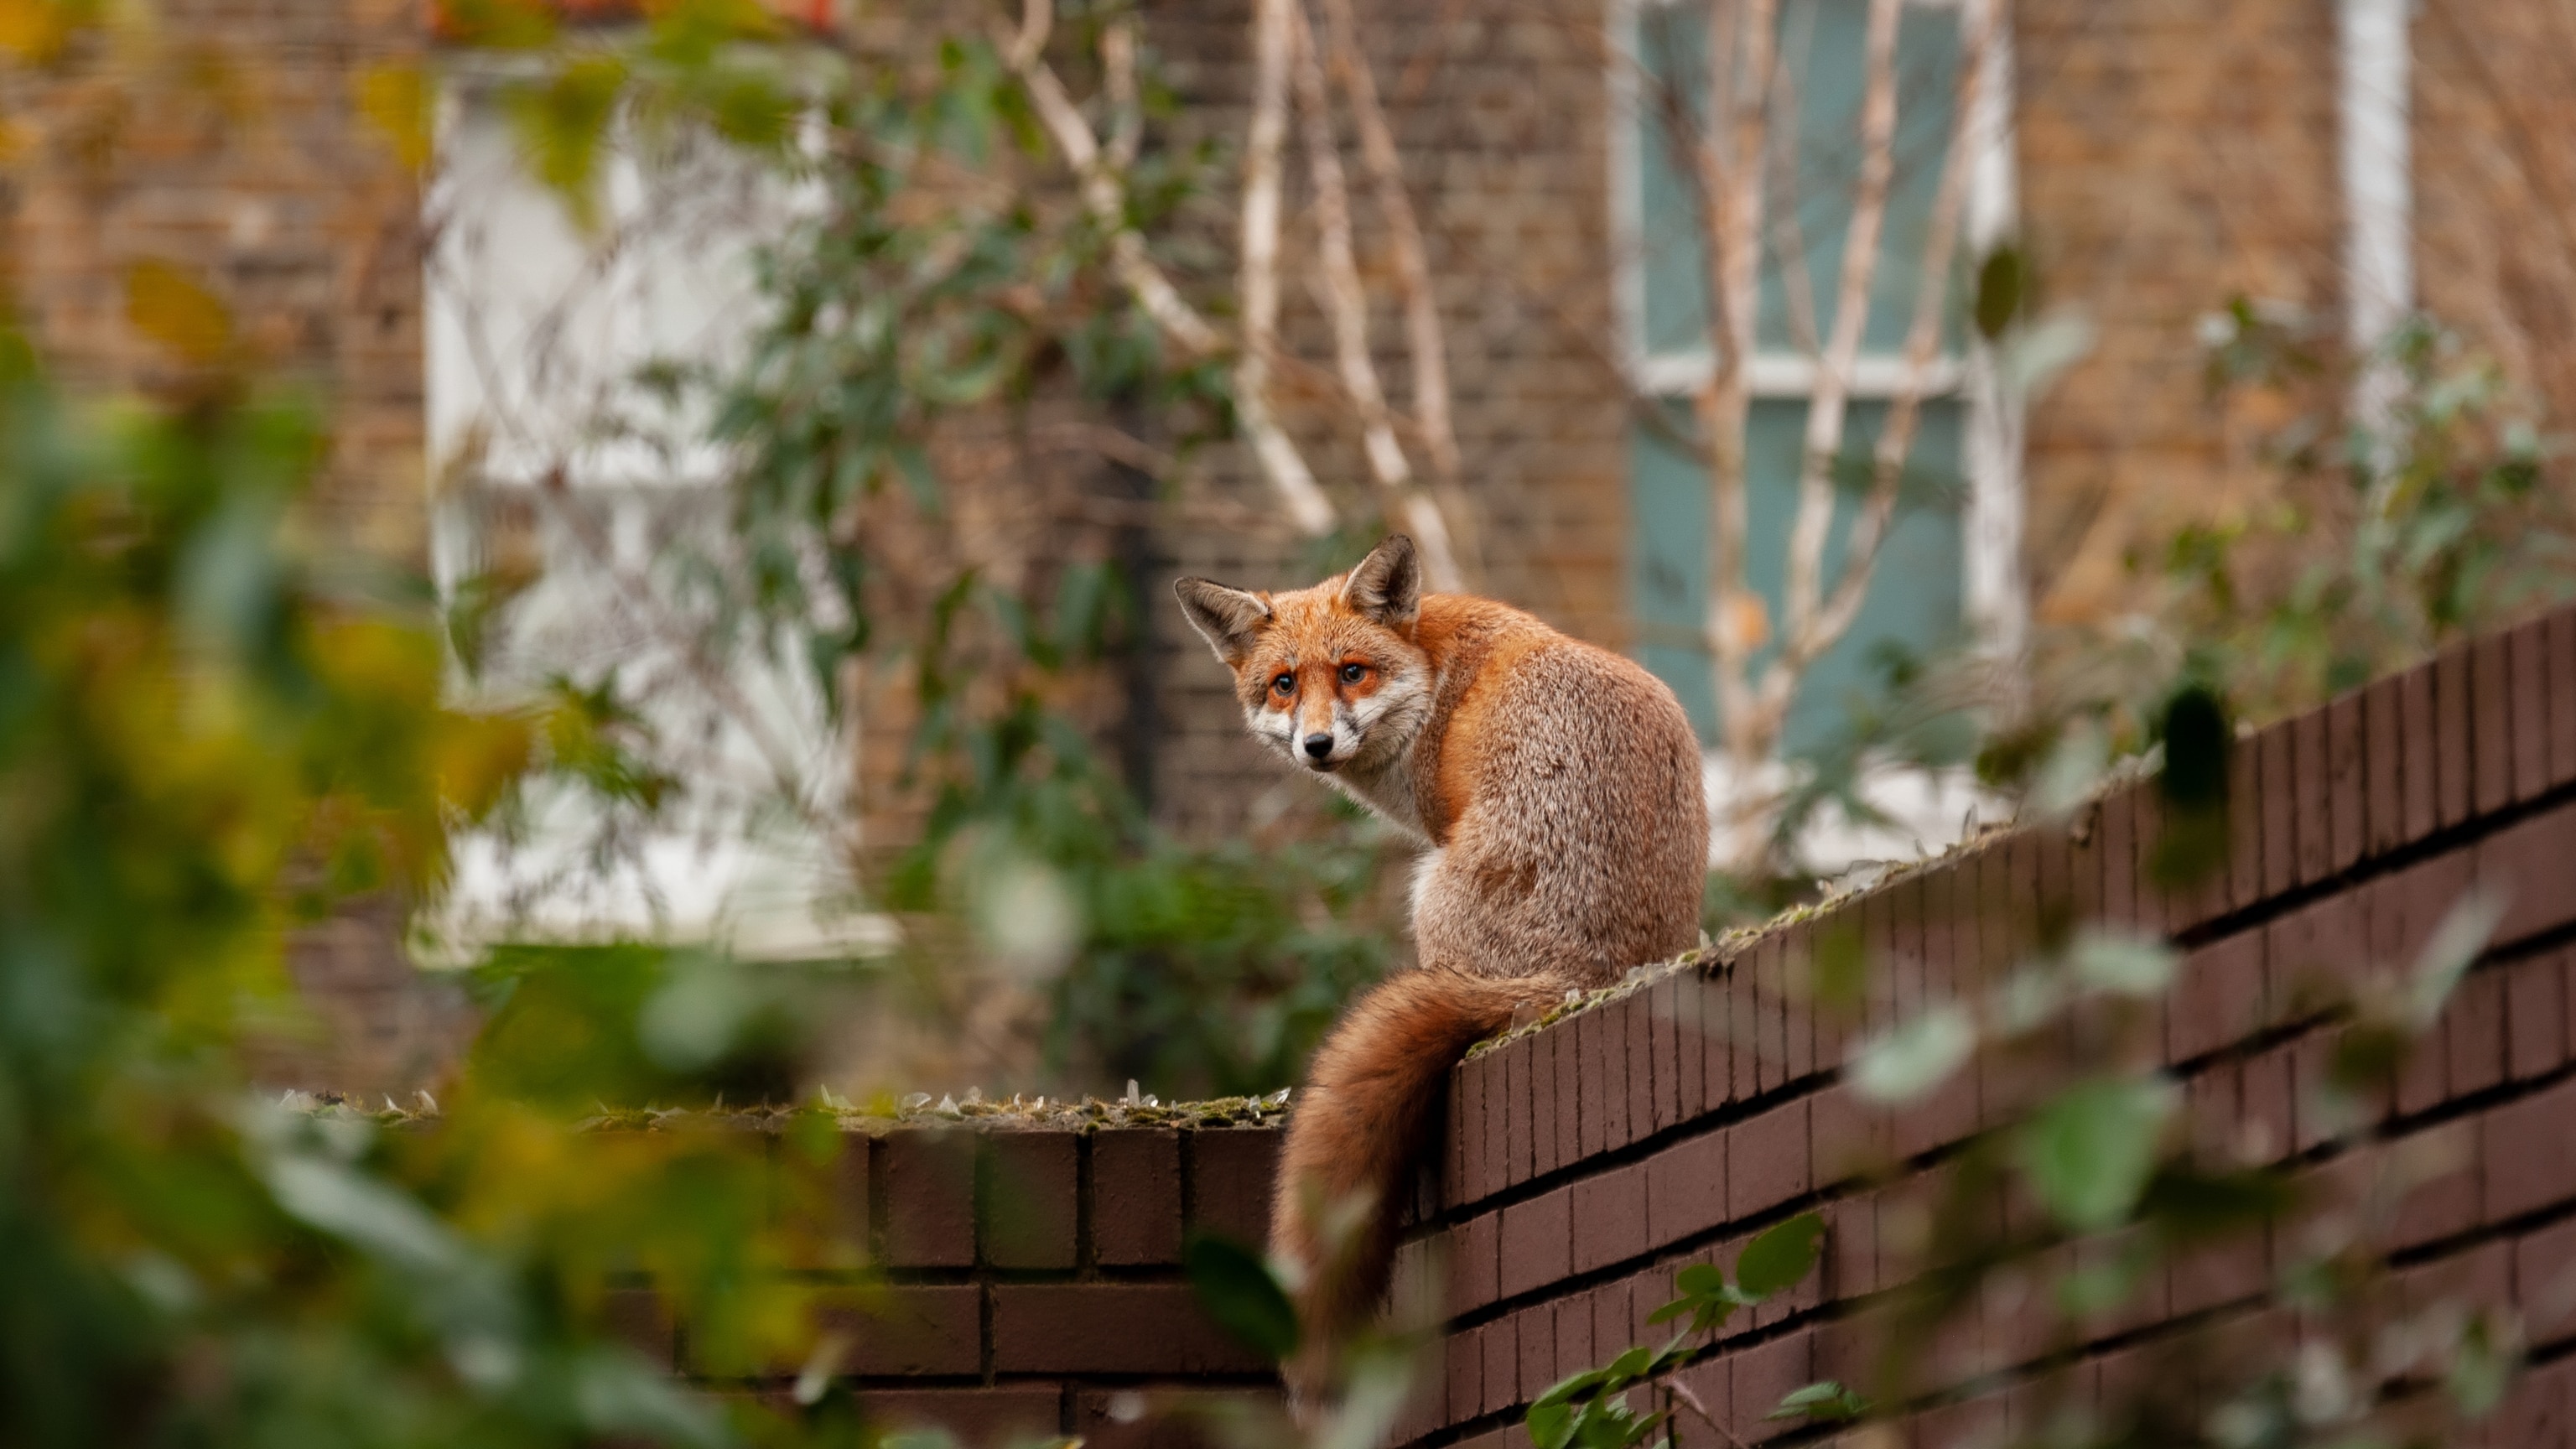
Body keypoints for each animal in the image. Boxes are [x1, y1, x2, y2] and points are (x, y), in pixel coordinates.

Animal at [1173, 534, 1707, 1403]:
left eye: (1352, 671)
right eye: (1284, 684)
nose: (1317, 746)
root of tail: (1589, 975)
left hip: (1425, 894)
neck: (1431, 672)